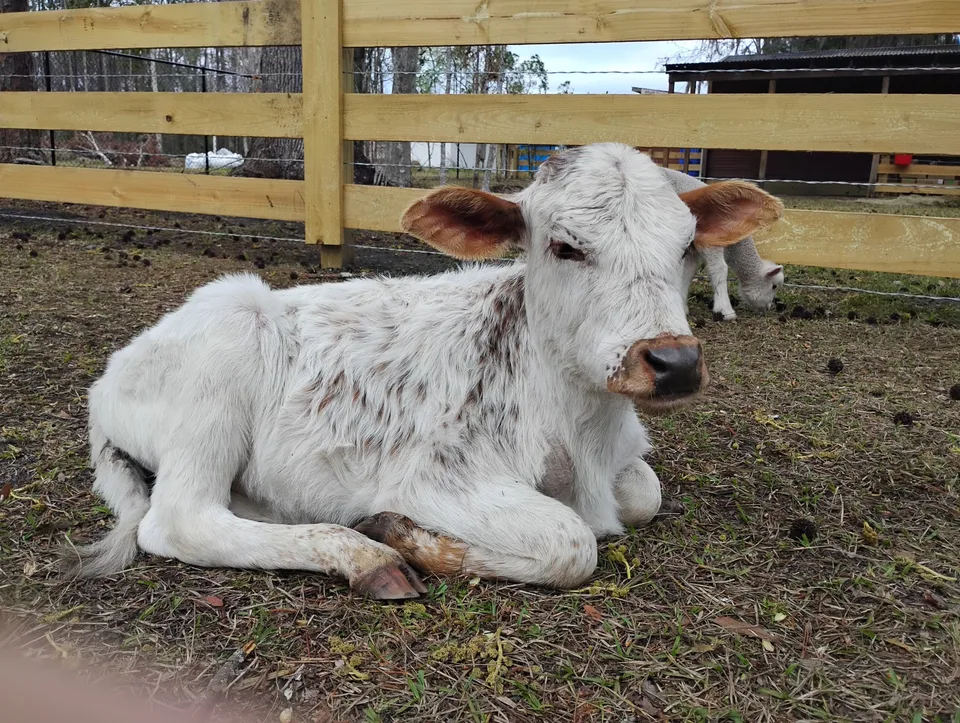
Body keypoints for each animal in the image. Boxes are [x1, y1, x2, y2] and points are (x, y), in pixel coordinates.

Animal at [61, 143, 783, 599]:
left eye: (688, 246)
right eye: (565, 247)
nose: (673, 362)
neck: (578, 425)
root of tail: (106, 381)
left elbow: (645, 493)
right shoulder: (433, 475)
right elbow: (571, 541)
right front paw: (405, 536)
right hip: (217, 375)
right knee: (178, 520)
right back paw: (367, 556)